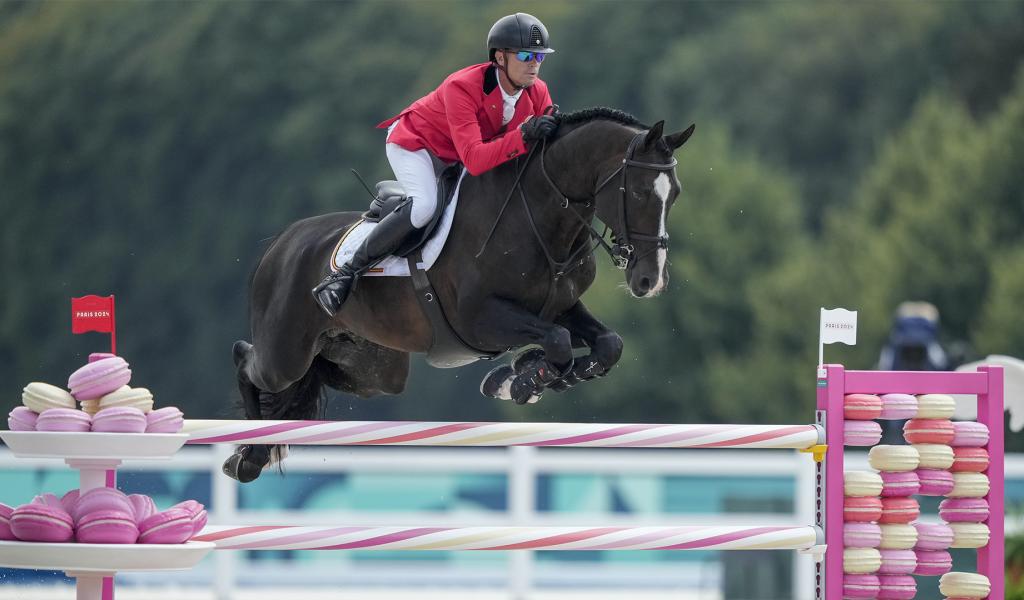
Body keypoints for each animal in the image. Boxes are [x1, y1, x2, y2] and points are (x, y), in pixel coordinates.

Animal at [227, 108, 692, 481]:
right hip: (285, 353)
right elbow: (557, 342)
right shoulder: (481, 320)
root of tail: (283, 241)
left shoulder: (559, 307)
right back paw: (249, 455)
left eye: (676, 194)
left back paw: (257, 451)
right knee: (248, 360)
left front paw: (525, 375)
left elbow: (606, 344)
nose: (651, 281)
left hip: (373, 369)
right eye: (638, 191)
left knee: (317, 376)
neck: (541, 220)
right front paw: (523, 380)